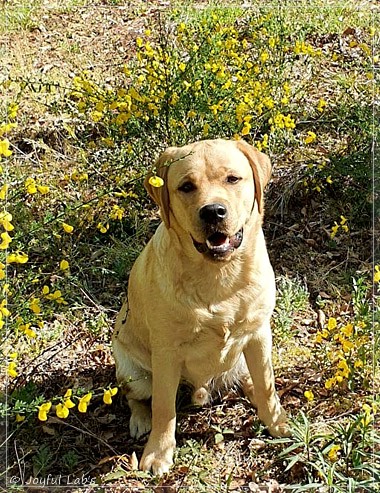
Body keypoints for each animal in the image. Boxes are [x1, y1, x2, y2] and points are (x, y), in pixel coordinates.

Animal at [112, 137, 288, 472]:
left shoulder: (259, 334)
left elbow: (267, 387)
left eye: (232, 179)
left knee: (252, 380)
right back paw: (140, 420)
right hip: (133, 372)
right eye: (186, 186)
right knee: (136, 397)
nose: (213, 212)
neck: (219, 277)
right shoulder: (166, 353)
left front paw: (278, 423)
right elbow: (164, 408)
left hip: (244, 356)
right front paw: (159, 452)